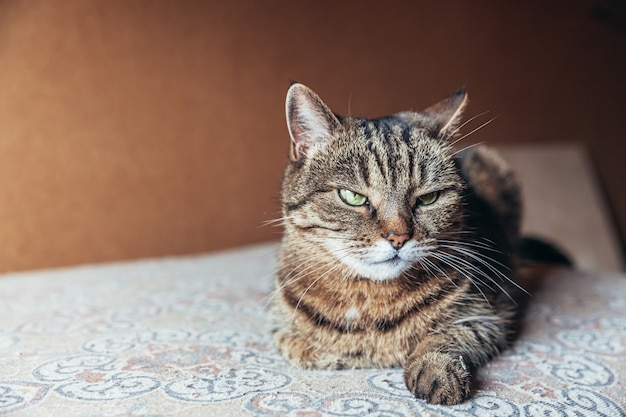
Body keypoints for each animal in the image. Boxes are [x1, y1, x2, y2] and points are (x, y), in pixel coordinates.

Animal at [270, 81, 564, 404]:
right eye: (353, 197)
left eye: (427, 198)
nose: (398, 237)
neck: (370, 300)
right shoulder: (279, 328)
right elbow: (300, 346)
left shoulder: (494, 315)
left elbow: (447, 336)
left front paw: (435, 368)